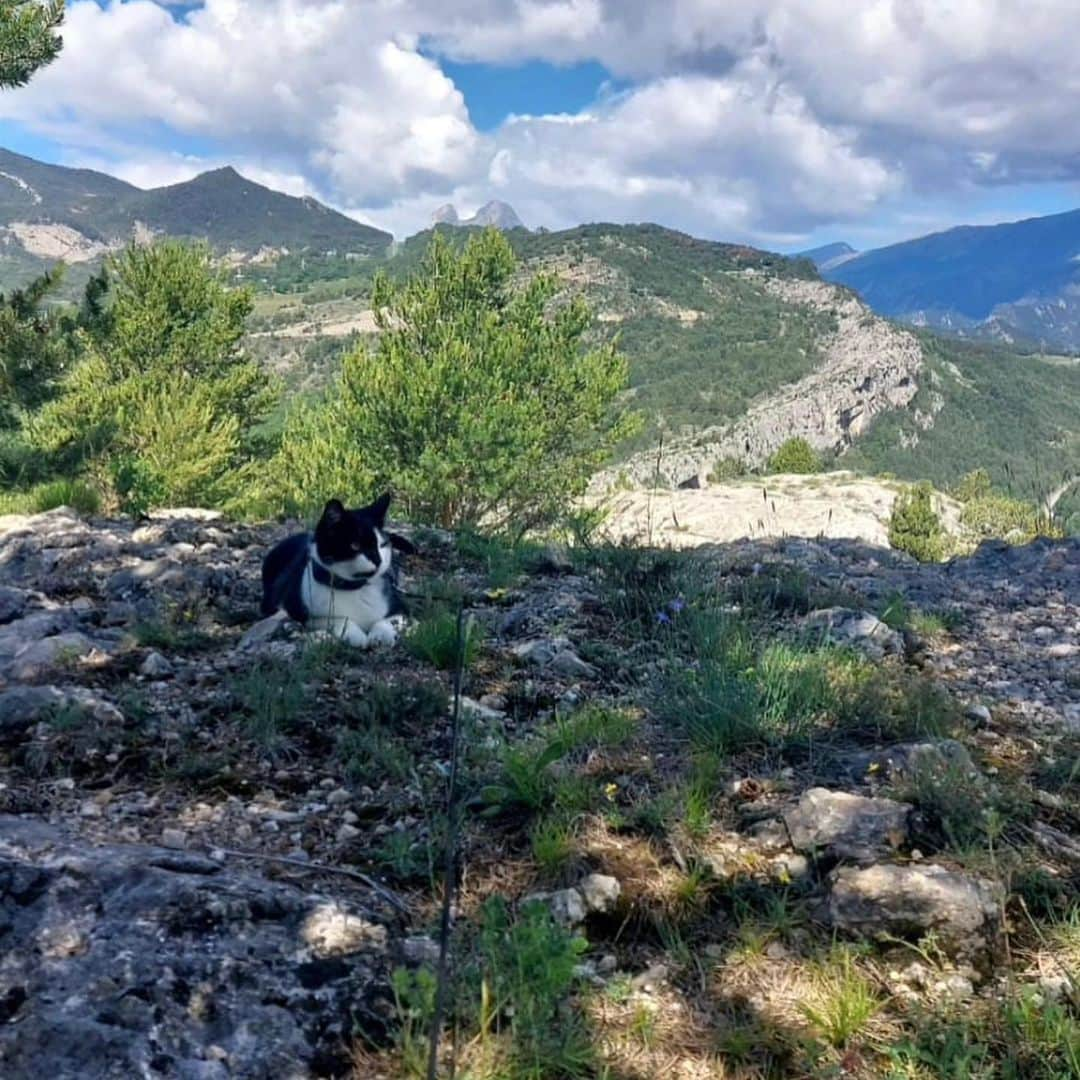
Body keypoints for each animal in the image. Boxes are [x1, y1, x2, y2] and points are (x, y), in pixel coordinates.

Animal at [259, 494, 414, 643]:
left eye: (382, 545)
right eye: (355, 545)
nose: (378, 560)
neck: (354, 588)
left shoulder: (399, 605)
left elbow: (387, 619)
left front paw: (381, 635)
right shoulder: (296, 609)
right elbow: (335, 619)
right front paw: (355, 635)